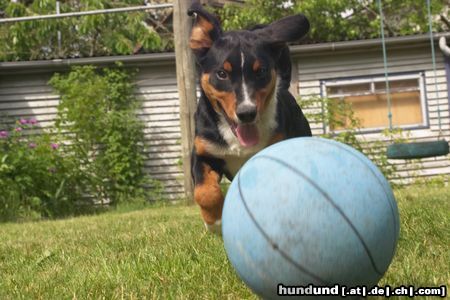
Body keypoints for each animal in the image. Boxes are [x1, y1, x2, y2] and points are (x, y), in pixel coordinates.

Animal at [188, 4, 312, 234]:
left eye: (261, 71)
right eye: (222, 73)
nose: (247, 113)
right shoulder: (203, 152)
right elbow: (204, 192)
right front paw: (214, 222)